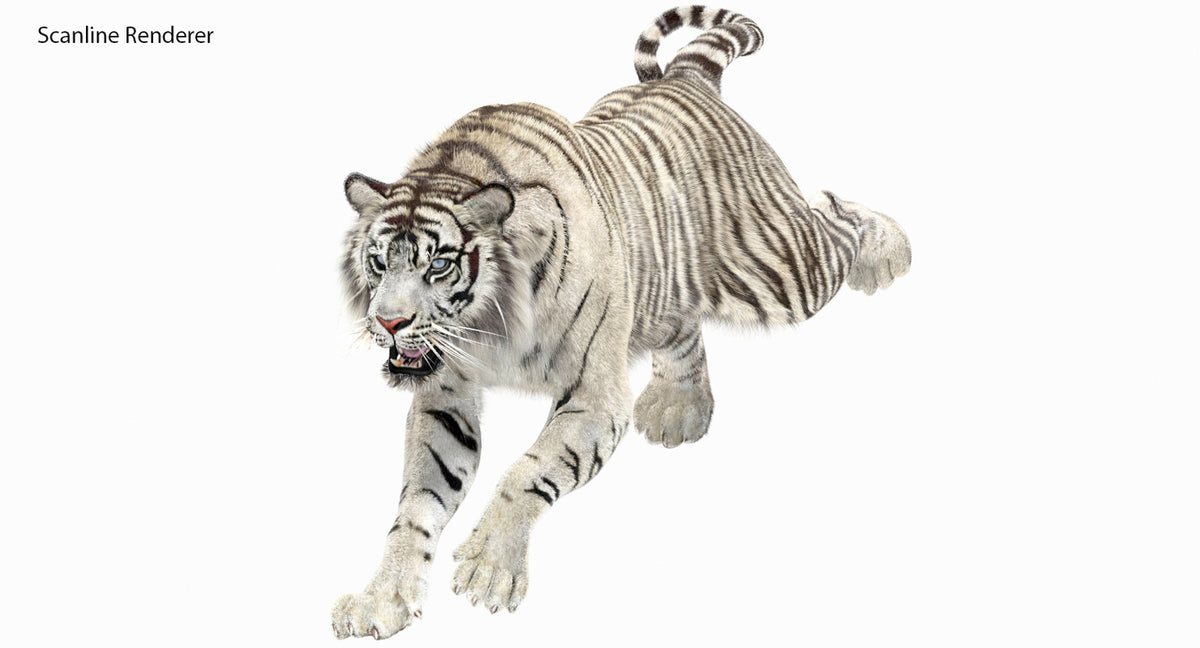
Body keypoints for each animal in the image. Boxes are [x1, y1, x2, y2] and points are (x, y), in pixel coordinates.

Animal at [331, 5, 911, 640]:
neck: (487, 328)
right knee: (684, 327)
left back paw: (891, 252)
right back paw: (680, 409)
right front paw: (382, 597)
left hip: (780, 269)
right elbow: (417, 502)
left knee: (835, 217)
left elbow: (528, 471)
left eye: (437, 264)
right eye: (379, 260)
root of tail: (686, 75)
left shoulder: (595, 395)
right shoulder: (445, 396)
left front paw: (489, 569)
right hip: (665, 283)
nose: (389, 323)